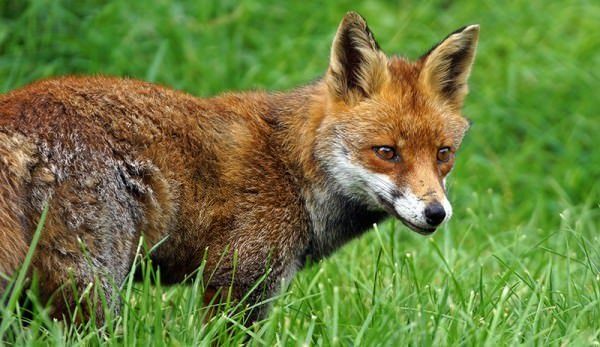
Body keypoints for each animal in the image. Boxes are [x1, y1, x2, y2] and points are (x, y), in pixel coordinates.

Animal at [0, 12, 478, 324]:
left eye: (443, 153)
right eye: (386, 152)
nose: (437, 213)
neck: (292, 169)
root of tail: (17, 111)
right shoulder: (237, 281)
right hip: (92, 288)